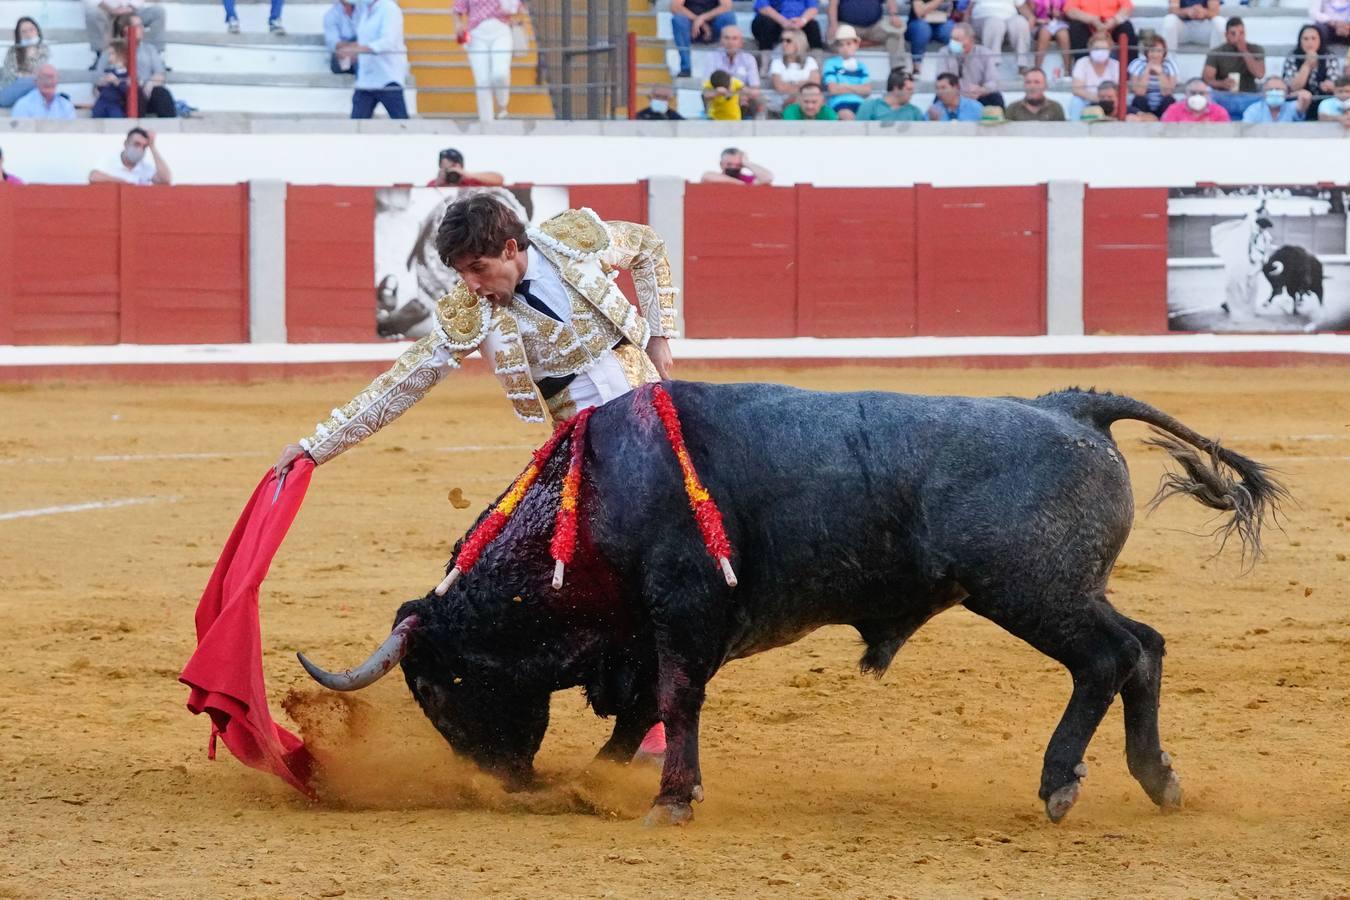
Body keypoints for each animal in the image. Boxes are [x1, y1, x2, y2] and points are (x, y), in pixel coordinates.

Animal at [298, 380, 1285, 825]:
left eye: (436, 686)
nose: (501, 781)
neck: (590, 505)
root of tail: (1070, 406)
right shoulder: (648, 633)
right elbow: (643, 708)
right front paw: (607, 777)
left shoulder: (682, 612)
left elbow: (674, 699)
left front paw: (670, 798)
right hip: (1064, 591)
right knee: (1144, 646)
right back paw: (1157, 778)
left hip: (1032, 592)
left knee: (1108, 659)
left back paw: (1060, 783)